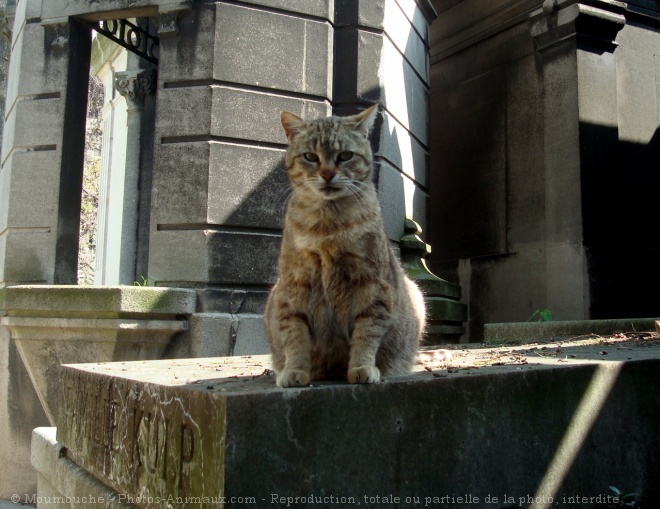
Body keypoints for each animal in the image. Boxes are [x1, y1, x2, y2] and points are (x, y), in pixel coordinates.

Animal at [264, 105, 426, 386]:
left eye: (345, 155)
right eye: (310, 156)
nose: (328, 174)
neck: (327, 227)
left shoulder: (372, 284)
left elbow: (366, 331)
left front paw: (362, 367)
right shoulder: (295, 284)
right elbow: (294, 333)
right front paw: (294, 369)